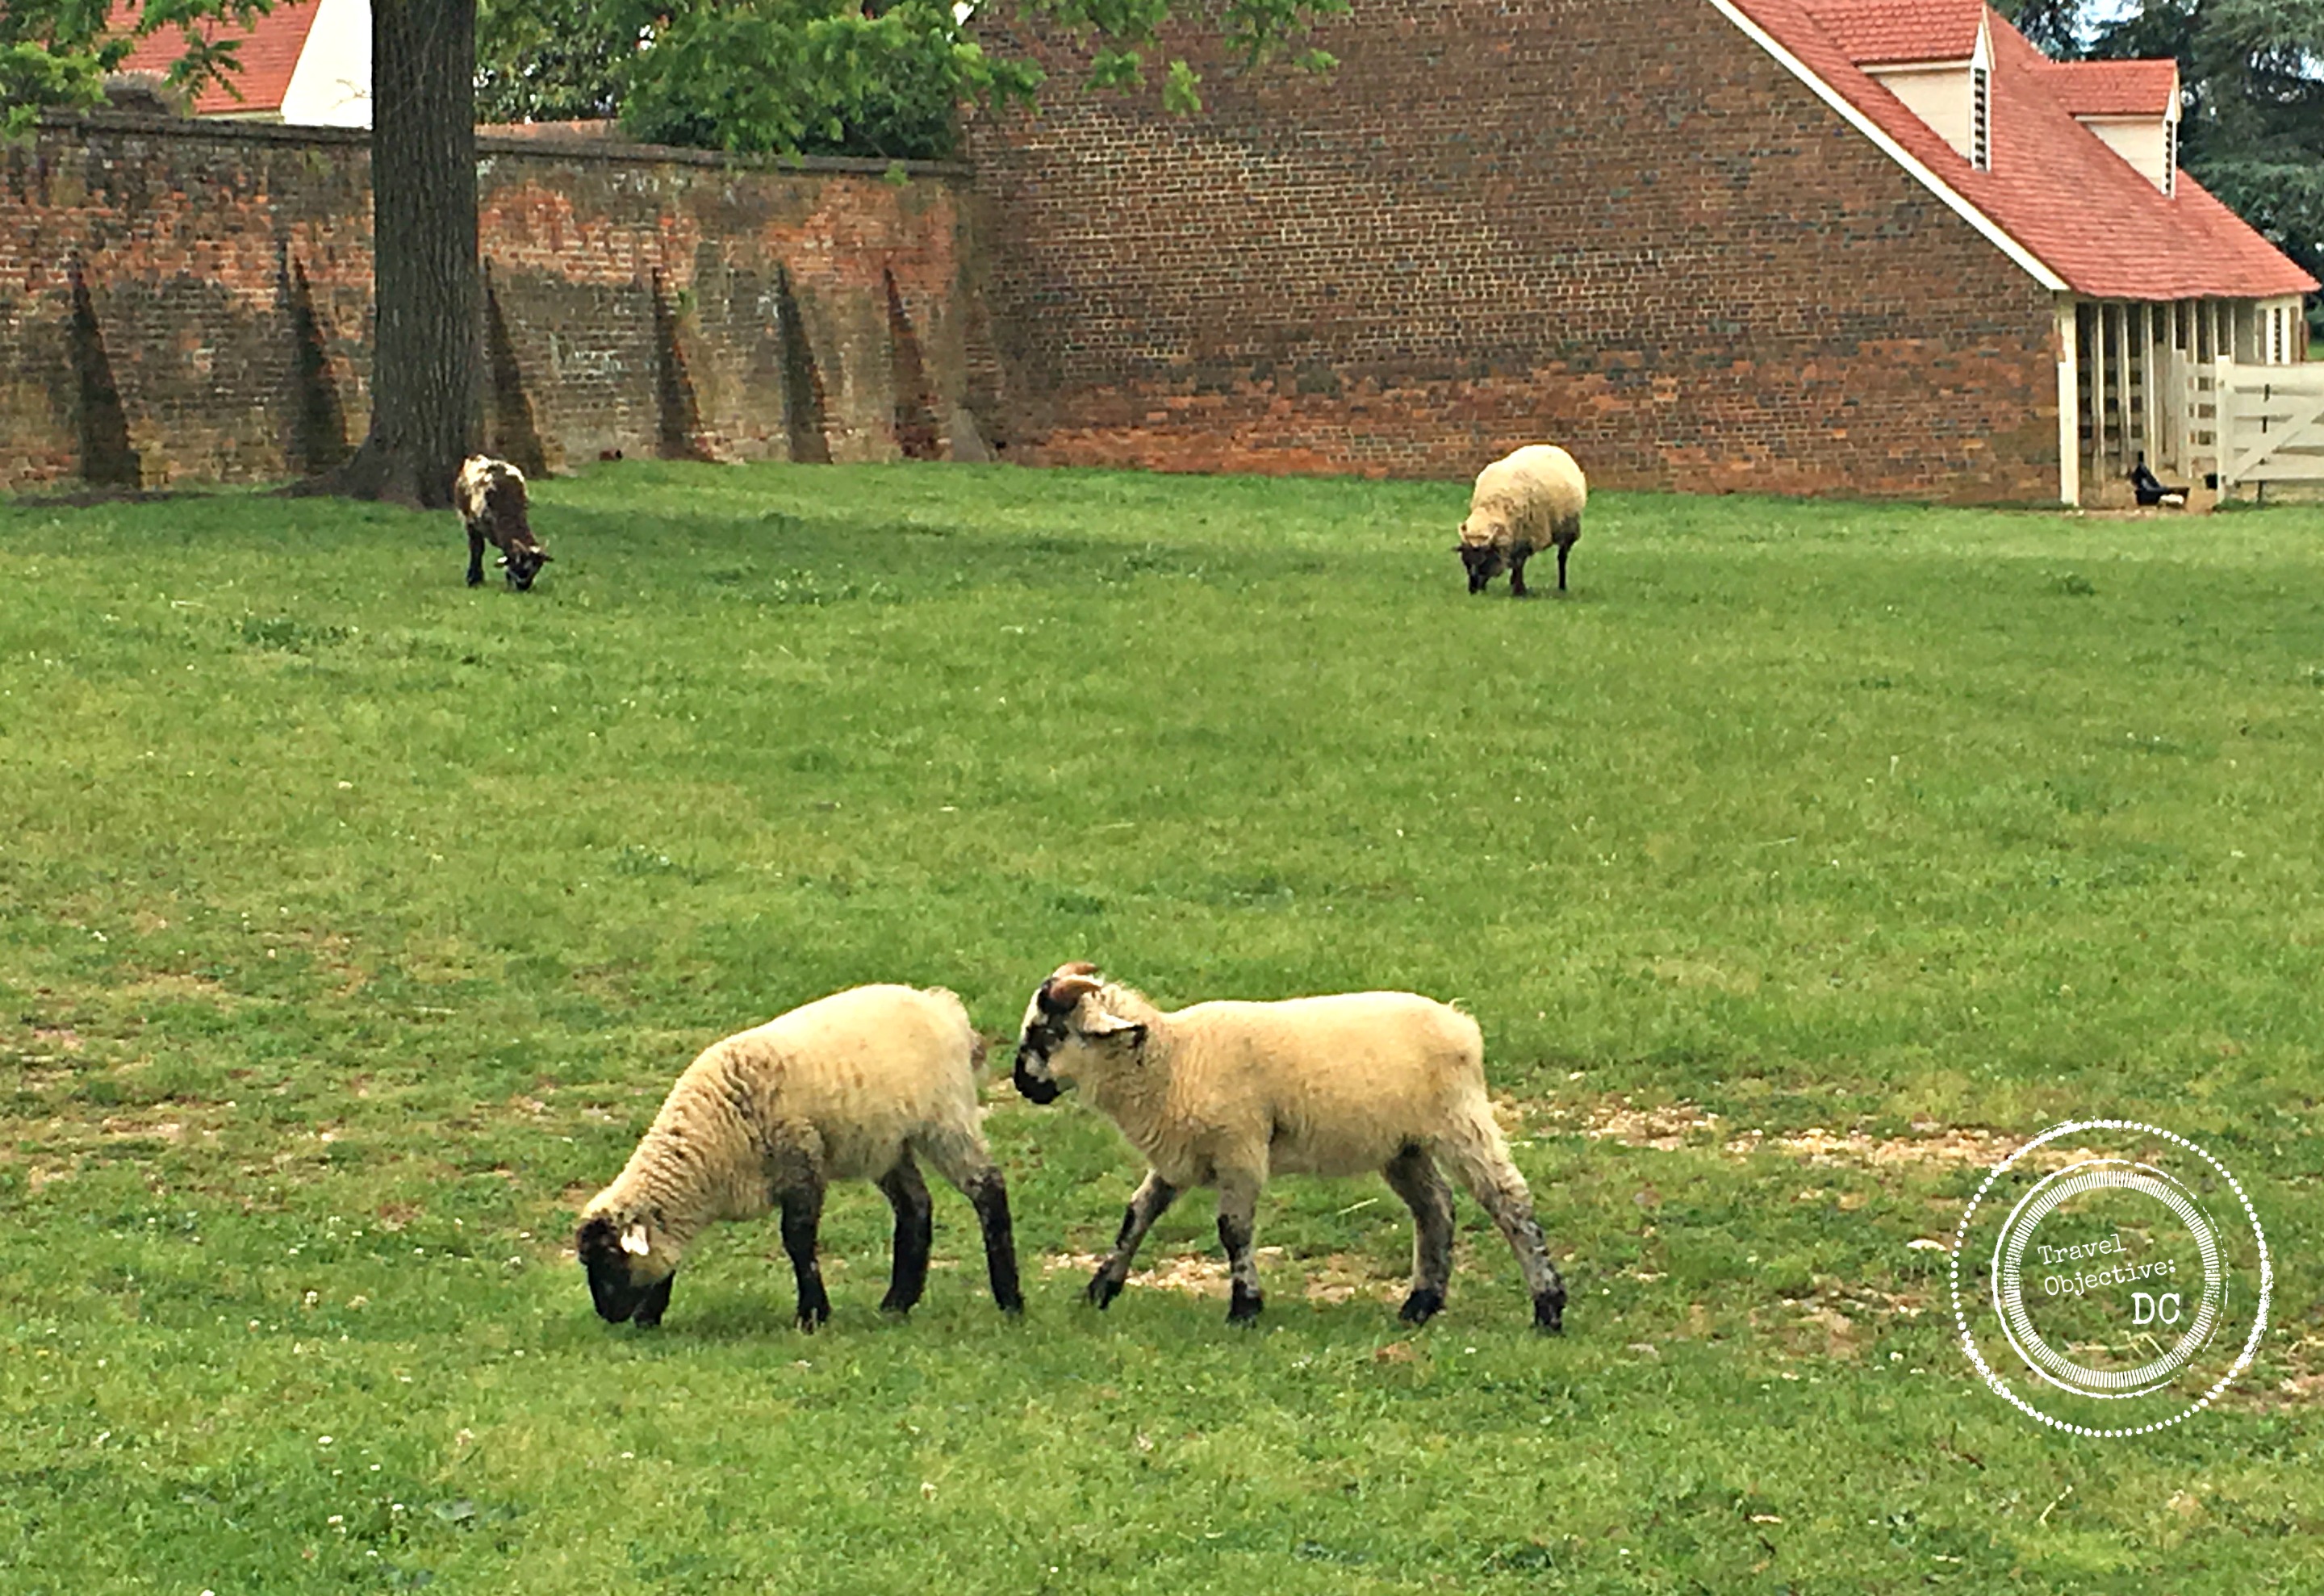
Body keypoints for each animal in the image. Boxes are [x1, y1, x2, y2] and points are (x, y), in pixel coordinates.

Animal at [455, 454, 552, 590]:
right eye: (522, 566)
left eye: (538, 568)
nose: (524, 587)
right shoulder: (473, 524)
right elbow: (477, 550)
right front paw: (474, 580)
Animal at [575, 984, 1022, 1330]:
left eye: (610, 1256)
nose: (607, 1315)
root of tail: (943, 1007)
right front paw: (649, 1316)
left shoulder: (801, 1166)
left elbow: (798, 1241)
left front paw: (812, 1315)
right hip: (886, 1144)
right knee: (915, 1207)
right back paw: (897, 1303)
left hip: (947, 1119)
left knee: (988, 1189)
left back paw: (1010, 1301)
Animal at [1011, 963, 1566, 1332]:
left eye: (1048, 1031)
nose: (1022, 1084)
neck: (1171, 1059)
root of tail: (1461, 1024)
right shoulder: (1178, 1157)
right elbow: (1136, 1215)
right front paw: (1100, 1289)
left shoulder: (1239, 1152)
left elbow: (1233, 1231)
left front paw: (1245, 1307)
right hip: (1402, 1145)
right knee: (1436, 1208)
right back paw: (1420, 1305)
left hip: (1458, 1119)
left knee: (1509, 1201)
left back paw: (1548, 1305)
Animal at [1458, 443, 1586, 596]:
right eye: (1465, 562)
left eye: (1483, 561)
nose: (1473, 591)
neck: (1493, 507)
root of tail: (1550, 446)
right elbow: (1516, 561)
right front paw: (1517, 585)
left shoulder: (1527, 534)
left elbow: (1519, 562)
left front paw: (1519, 591)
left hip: (1568, 528)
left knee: (1562, 557)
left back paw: (1562, 586)